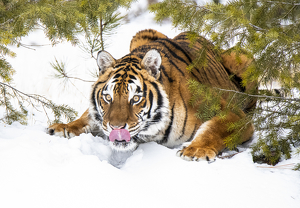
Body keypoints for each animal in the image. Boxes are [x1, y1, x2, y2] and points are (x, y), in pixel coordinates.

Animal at [47, 28, 255, 162]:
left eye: (136, 98)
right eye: (108, 98)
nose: (116, 128)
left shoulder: (234, 115)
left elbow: (215, 129)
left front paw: (196, 150)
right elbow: (88, 116)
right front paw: (63, 127)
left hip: (245, 59)